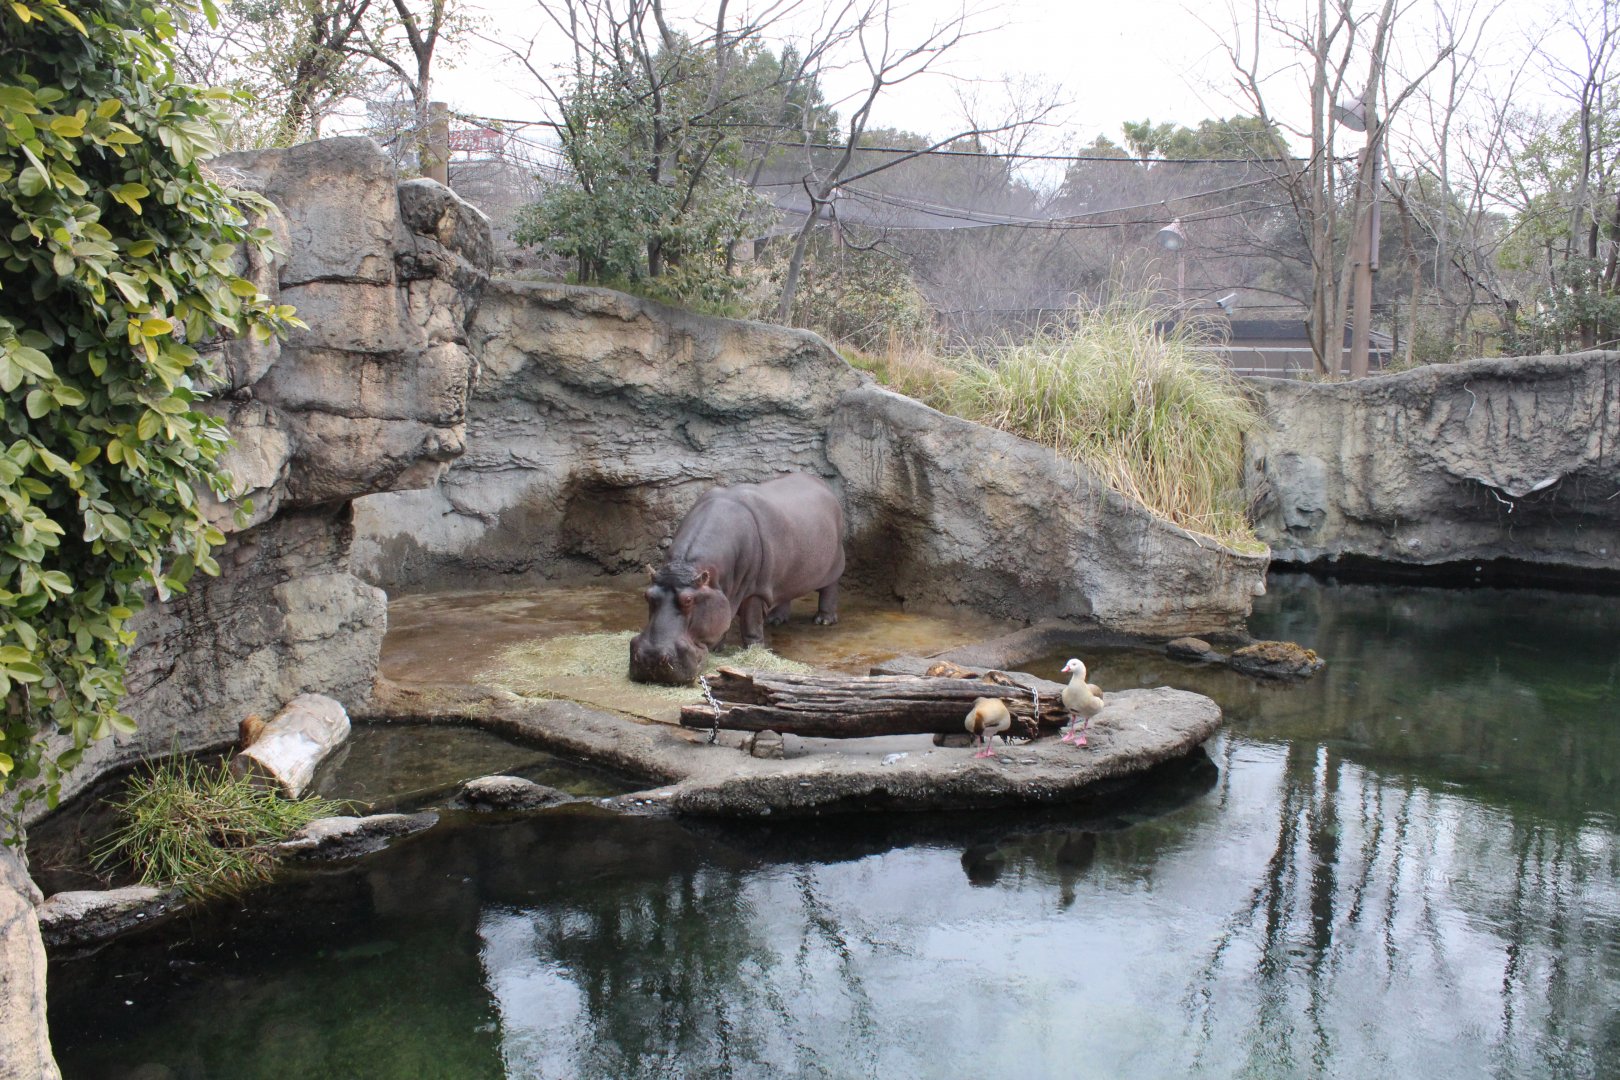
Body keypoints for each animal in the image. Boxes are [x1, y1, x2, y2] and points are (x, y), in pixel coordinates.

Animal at [628, 473, 845, 685]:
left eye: (688, 600)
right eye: (647, 595)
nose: (650, 658)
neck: (687, 567)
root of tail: (820, 483)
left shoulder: (755, 590)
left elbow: (751, 623)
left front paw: (754, 650)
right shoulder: (724, 593)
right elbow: (723, 617)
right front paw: (717, 647)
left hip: (834, 565)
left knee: (829, 589)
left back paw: (823, 620)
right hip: (786, 575)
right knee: (784, 594)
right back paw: (775, 620)